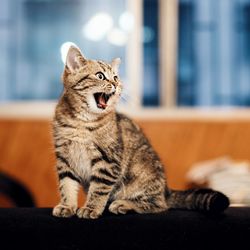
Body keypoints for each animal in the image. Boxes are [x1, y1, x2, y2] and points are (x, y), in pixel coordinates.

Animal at [52, 45, 230, 219]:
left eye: (115, 77)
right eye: (100, 76)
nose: (116, 84)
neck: (82, 121)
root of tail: (166, 190)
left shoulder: (108, 161)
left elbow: (99, 189)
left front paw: (91, 208)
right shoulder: (64, 158)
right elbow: (66, 185)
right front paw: (67, 206)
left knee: (159, 205)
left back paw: (123, 204)